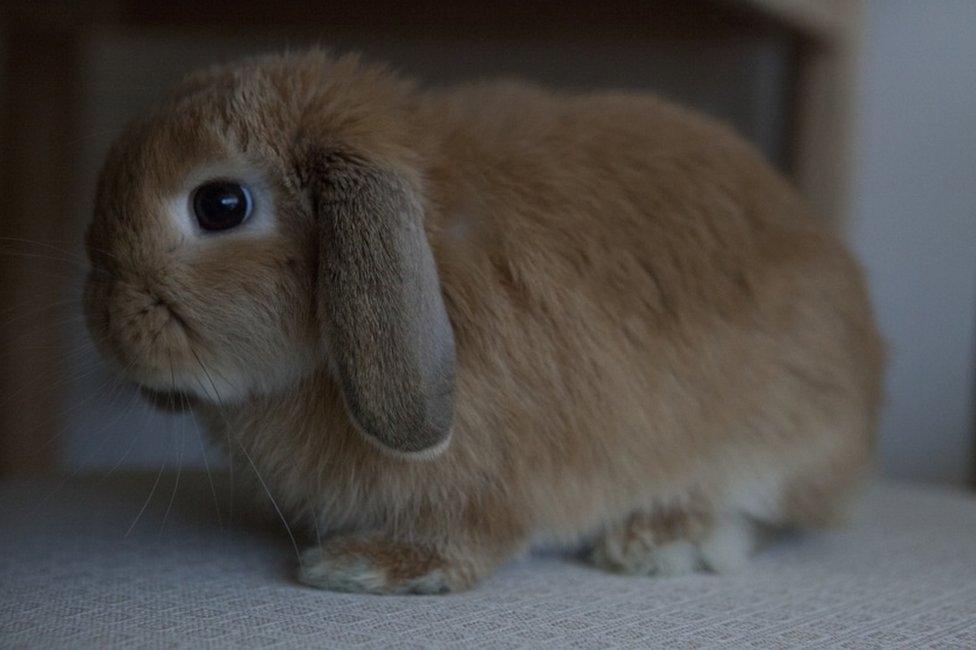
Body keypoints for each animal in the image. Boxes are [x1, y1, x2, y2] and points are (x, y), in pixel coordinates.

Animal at [86, 52, 884, 592]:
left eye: (220, 205)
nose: (106, 325)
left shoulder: (489, 481)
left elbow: (472, 535)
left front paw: (364, 566)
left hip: (774, 436)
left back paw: (662, 541)